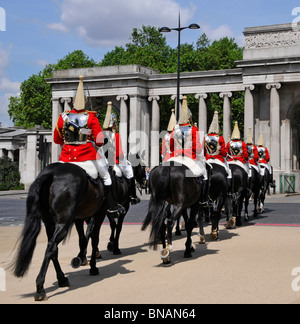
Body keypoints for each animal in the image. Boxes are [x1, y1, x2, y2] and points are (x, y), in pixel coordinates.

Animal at [12, 162, 109, 302]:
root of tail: (51, 172)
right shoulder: (99, 214)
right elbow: (93, 239)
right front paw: (92, 266)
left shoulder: (82, 218)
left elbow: (84, 238)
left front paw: (82, 258)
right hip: (64, 223)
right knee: (51, 247)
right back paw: (40, 288)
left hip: (49, 222)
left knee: (53, 249)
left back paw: (62, 279)